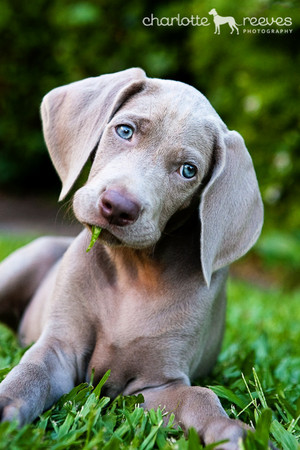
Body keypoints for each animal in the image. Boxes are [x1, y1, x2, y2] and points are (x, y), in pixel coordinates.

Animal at [0, 68, 262, 448]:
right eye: (125, 130)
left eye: (188, 170)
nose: (119, 206)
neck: (134, 270)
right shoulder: (60, 348)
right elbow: (30, 372)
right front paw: (6, 403)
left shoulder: (155, 386)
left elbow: (200, 396)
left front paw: (232, 431)